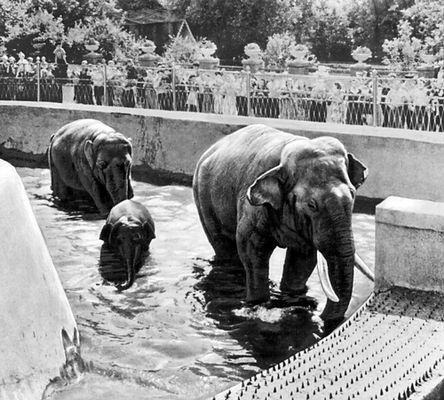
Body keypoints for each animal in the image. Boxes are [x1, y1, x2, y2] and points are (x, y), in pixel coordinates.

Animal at [194, 124, 374, 324]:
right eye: (311, 205)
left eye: (353, 194)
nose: (319, 316)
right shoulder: (252, 205)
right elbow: (250, 249)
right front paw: (257, 304)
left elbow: (303, 258)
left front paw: (293, 300)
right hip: (204, 199)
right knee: (225, 249)